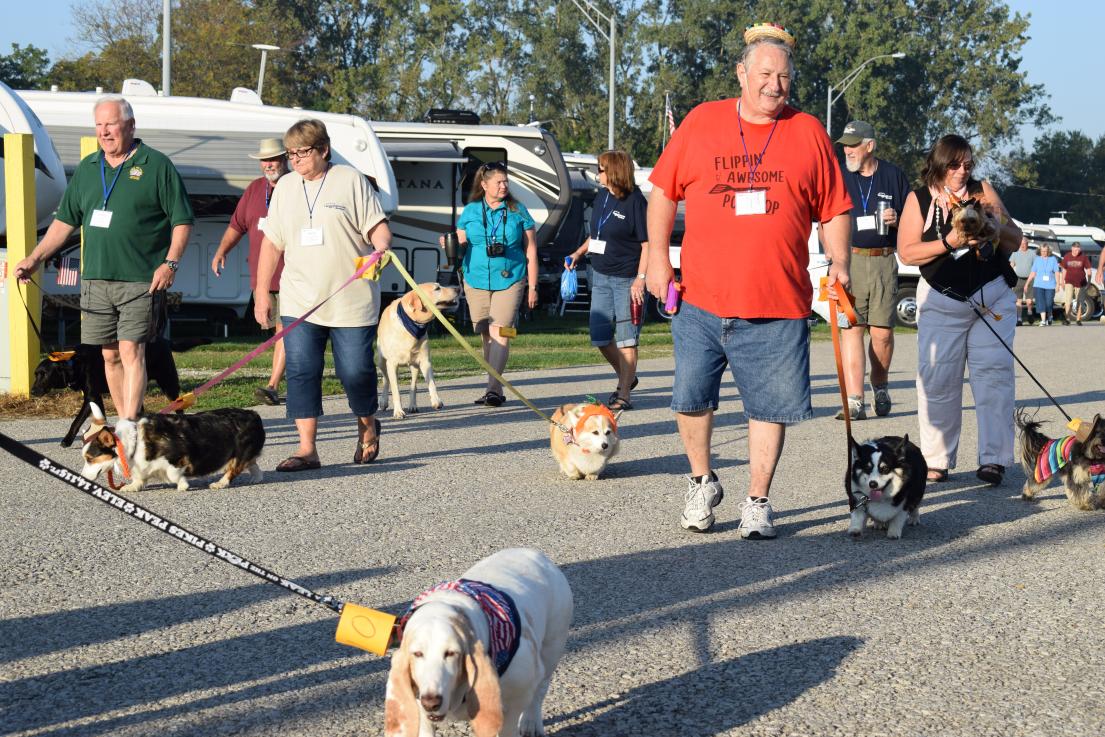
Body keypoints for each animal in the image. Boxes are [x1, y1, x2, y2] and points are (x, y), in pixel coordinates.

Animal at [32, 338, 208, 446]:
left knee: (179, 406)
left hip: (167, 382)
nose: (32, 391)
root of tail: (165, 340)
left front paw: (67, 440)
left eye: (44, 374)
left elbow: (76, 421)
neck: (74, 362)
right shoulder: (94, 397)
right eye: (35, 374)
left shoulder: (92, 395)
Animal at [80, 399, 265, 492]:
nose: (81, 478)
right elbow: (140, 478)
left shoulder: (177, 458)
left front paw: (182, 485)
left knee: (234, 469)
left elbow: (173, 474)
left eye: (90, 458)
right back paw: (256, 478)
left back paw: (220, 483)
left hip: (239, 453)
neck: (134, 441)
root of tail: (254, 414)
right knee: (253, 464)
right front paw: (132, 486)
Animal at [373, 285, 455, 417]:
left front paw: (436, 401)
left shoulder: (425, 361)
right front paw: (398, 411)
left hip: (414, 365)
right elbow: (396, 390)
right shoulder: (392, 364)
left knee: (413, 386)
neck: (411, 324)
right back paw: (384, 401)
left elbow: (431, 383)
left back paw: (413, 405)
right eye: (437, 288)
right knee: (386, 379)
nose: (457, 289)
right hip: (381, 361)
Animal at [384, 545, 574, 737]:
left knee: (539, 691)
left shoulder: (518, 694)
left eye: (451, 653)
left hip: (551, 649)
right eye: (417, 654)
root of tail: (536, 554)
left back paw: (531, 723)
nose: (431, 702)